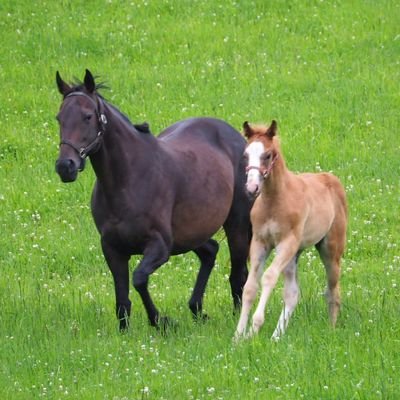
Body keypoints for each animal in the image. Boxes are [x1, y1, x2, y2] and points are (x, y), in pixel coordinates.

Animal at [55, 69, 252, 332]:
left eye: (87, 116)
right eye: (59, 118)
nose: (65, 166)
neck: (127, 181)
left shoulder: (160, 246)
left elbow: (139, 279)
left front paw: (161, 321)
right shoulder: (112, 249)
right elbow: (122, 299)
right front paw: (125, 332)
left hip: (236, 225)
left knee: (238, 275)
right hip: (189, 234)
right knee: (210, 252)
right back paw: (197, 309)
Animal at [234, 122, 346, 340]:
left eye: (268, 155)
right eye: (245, 154)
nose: (252, 188)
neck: (274, 201)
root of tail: (329, 177)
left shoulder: (286, 242)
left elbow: (268, 277)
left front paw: (255, 327)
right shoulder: (260, 243)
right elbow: (250, 287)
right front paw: (239, 335)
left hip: (330, 249)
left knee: (333, 290)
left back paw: (331, 328)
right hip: (295, 253)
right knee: (293, 293)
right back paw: (276, 337)